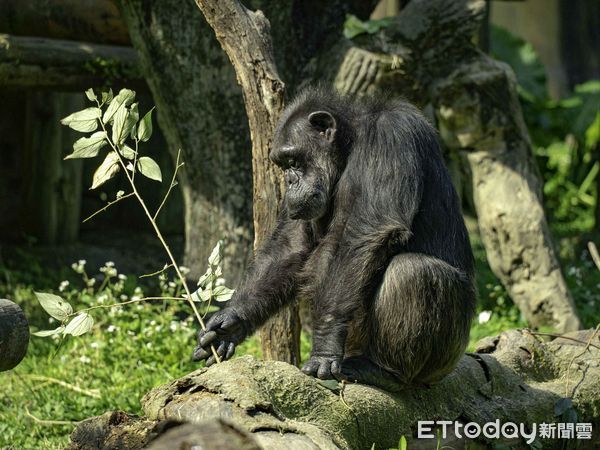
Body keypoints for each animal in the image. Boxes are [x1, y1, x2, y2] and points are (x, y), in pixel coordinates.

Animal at [192, 88, 474, 390]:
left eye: (293, 161)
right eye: (282, 165)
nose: (289, 180)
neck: (350, 146)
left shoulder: (393, 135)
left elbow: (367, 231)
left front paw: (324, 346)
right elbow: (292, 246)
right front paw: (230, 322)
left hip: (445, 356)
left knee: (413, 272)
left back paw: (383, 370)